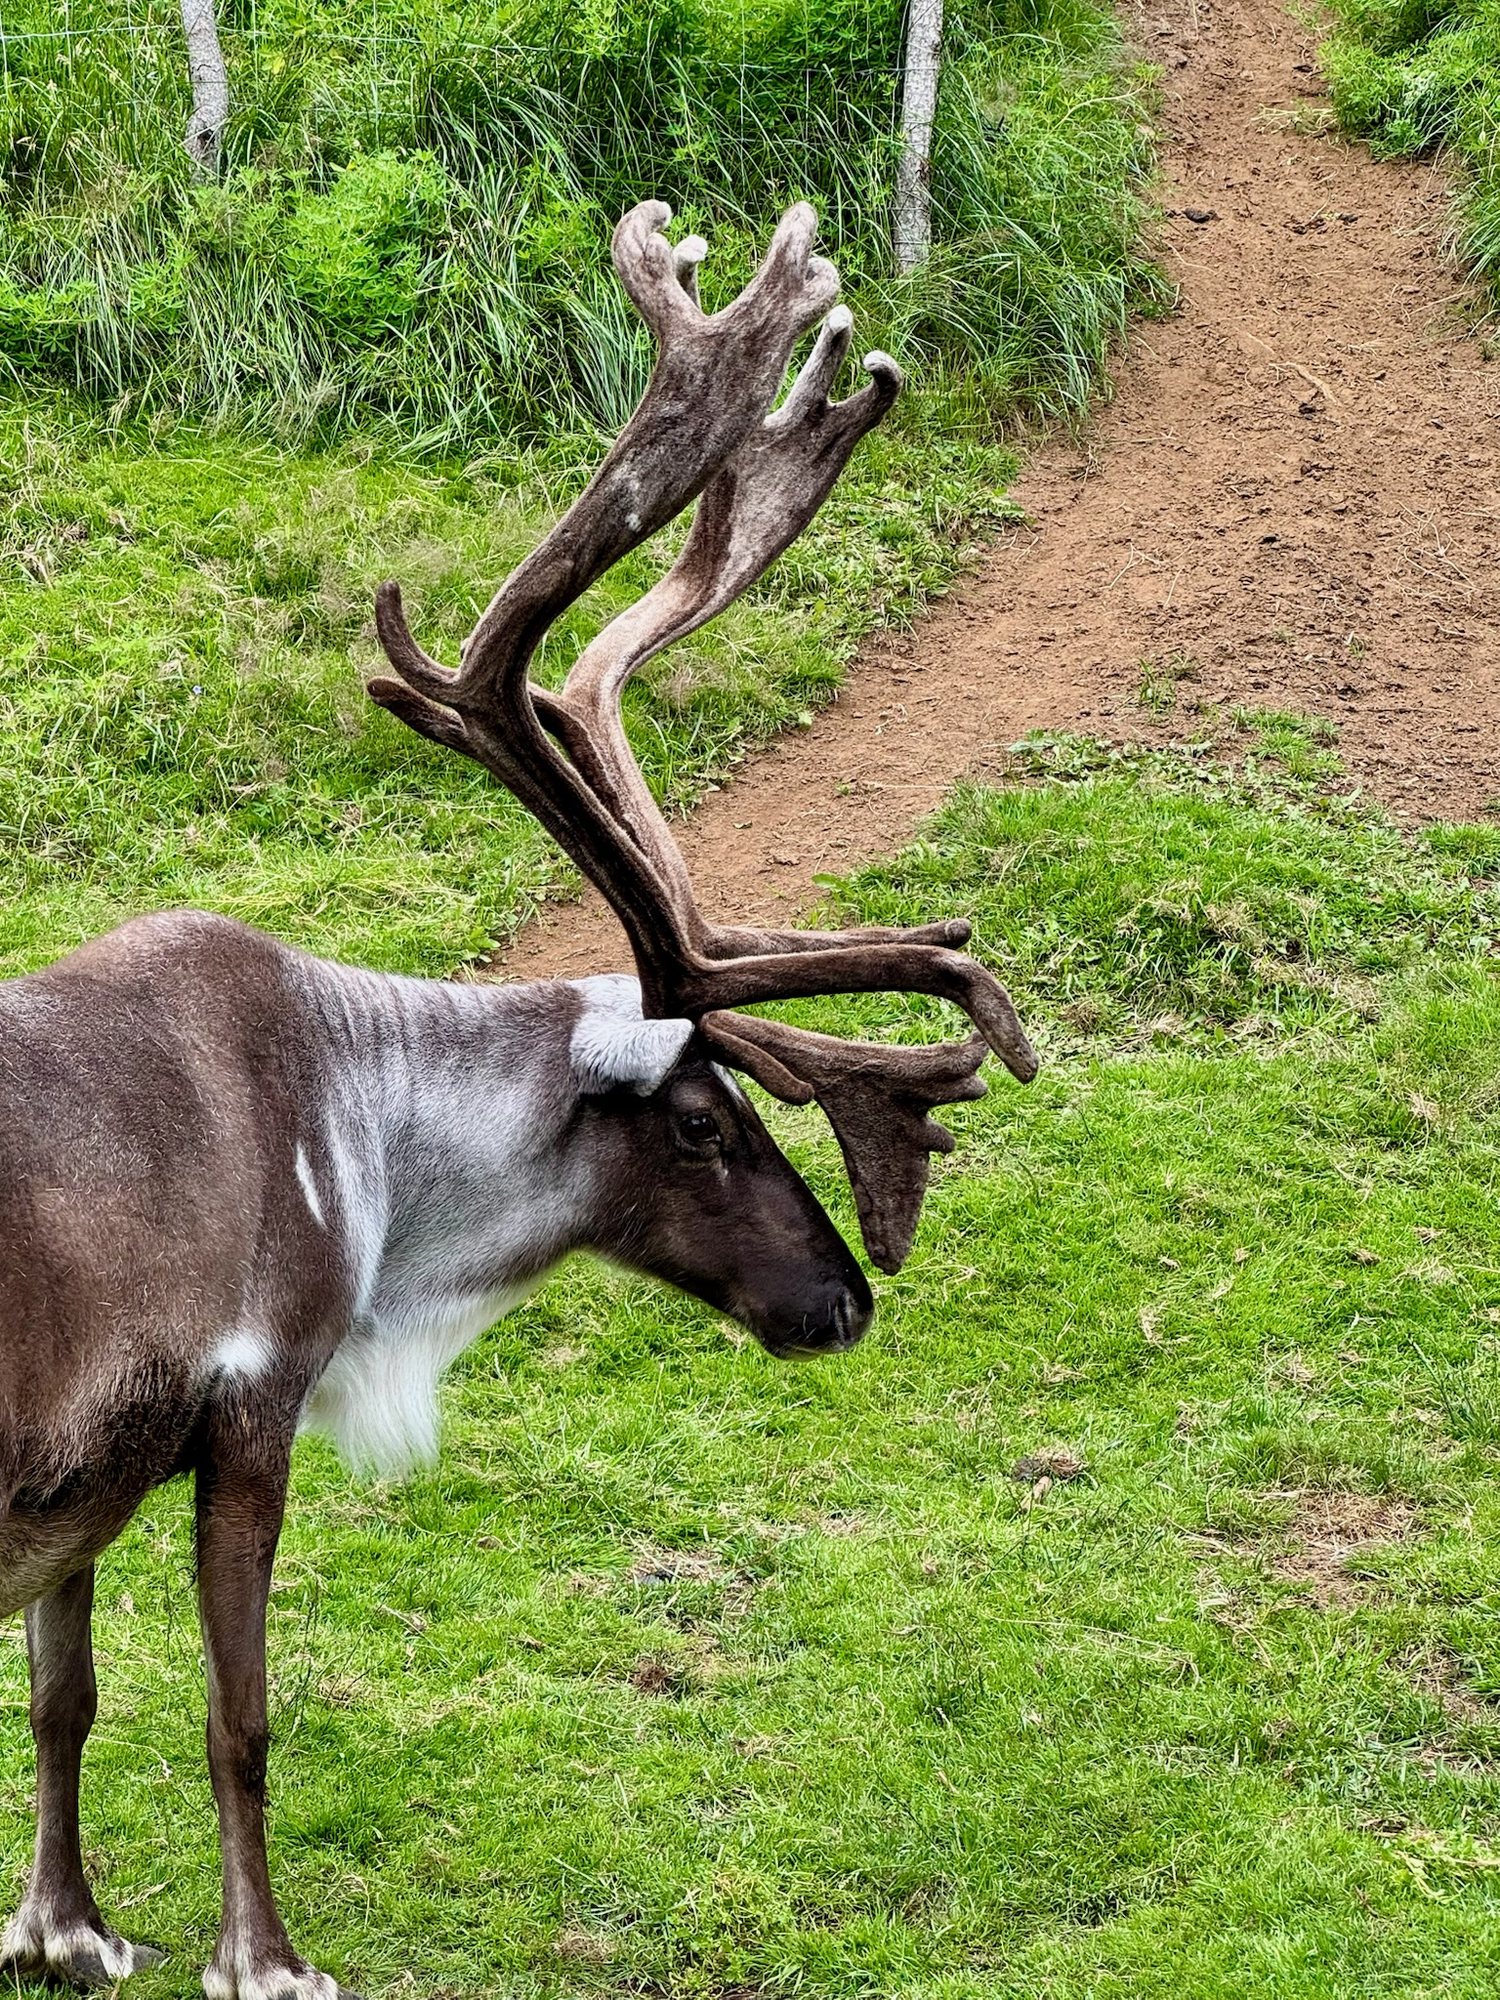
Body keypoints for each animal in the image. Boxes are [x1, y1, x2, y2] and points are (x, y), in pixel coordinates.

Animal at [0, 201, 1037, 2000]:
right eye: (703, 1122)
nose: (843, 1298)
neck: (368, 1151)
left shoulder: (88, 1470)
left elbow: (66, 1701)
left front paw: (65, 1926)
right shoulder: (249, 1403)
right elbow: (237, 1720)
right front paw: (265, 1956)